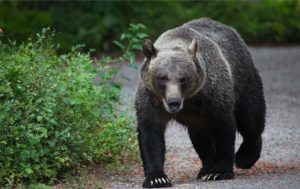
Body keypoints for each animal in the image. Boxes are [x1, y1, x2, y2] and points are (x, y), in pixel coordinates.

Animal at [135, 17, 264, 188]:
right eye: (162, 77)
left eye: (183, 78)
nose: (173, 102)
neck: (189, 99)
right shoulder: (152, 100)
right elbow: (151, 135)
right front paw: (157, 178)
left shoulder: (213, 95)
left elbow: (224, 128)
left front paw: (219, 172)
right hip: (198, 119)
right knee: (201, 138)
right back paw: (206, 168)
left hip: (243, 77)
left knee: (250, 115)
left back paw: (245, 157)